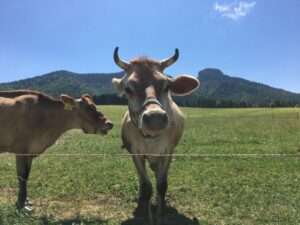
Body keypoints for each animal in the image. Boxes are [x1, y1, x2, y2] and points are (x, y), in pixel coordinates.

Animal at [112, 47, 199, 225]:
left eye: (167, 86)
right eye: (128, 89)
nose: (155, 118)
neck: (151, 138)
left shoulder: (167, 152)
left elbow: (161, 184)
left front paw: (160, 213)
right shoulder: (136, 153)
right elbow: (147, 186)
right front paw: (148, 215)